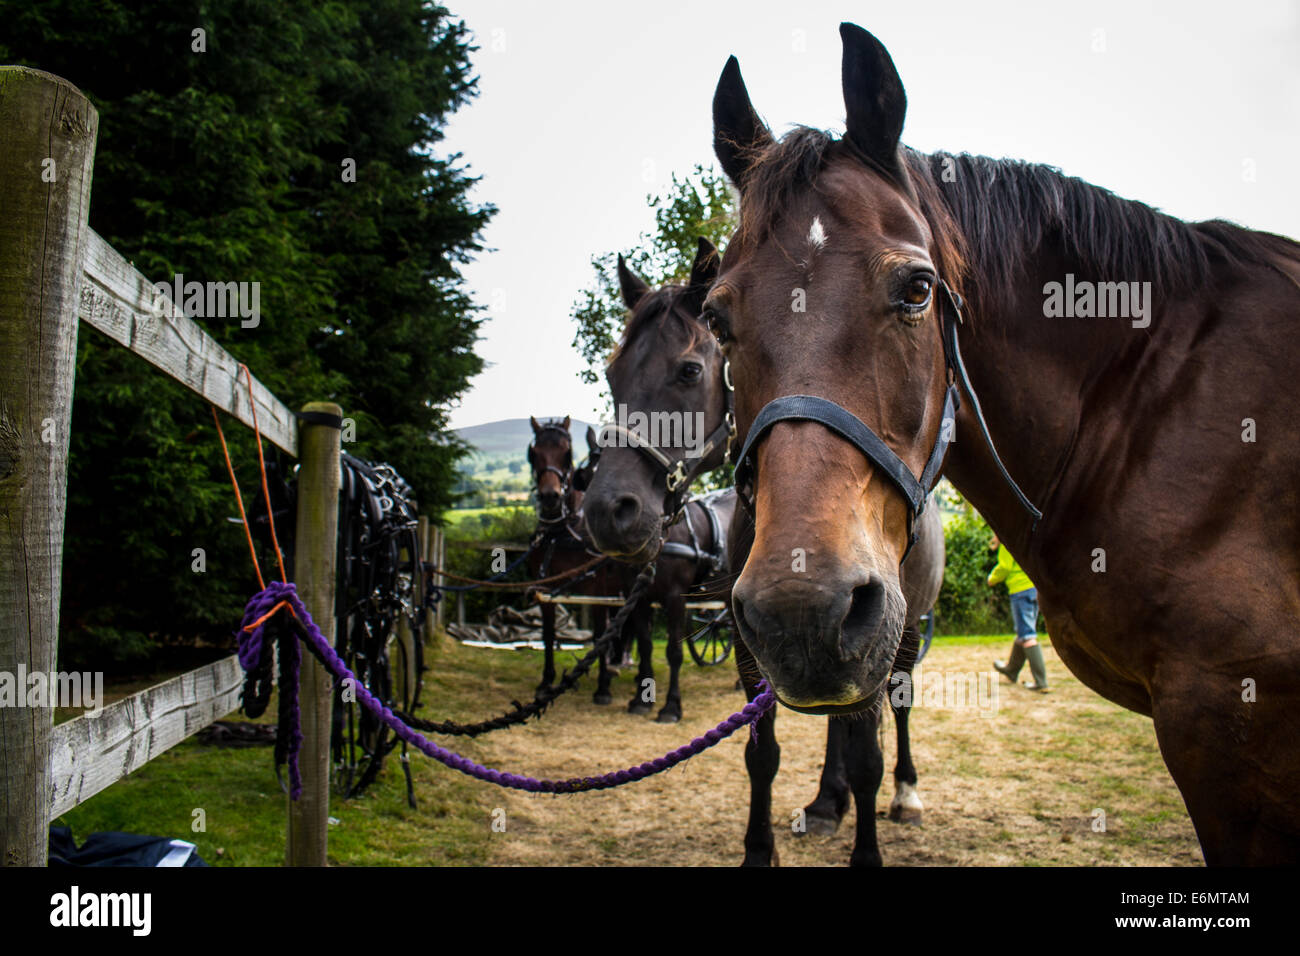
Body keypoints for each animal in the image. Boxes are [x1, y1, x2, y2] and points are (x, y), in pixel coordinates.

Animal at [582, 239, 945, 864]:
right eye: (611, 374)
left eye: (689, 370)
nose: (610, 511)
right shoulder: (756, 646)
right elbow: (762, 755)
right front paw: (764, 845)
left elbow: (868, 757)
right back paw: (827, 801)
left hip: (906, 634)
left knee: (896, 712)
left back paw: (904, 792)